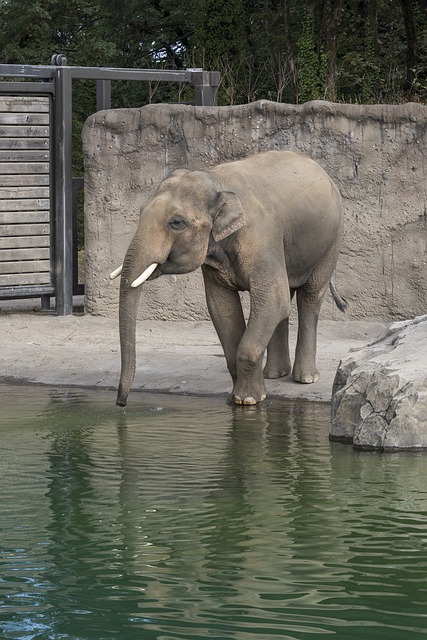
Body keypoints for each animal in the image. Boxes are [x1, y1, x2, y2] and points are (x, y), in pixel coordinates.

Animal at [111, 151, 348, 404]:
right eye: (140, 211)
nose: (121, 403)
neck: (215, 180)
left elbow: (271, 299)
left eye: (176, 222)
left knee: (309, 296)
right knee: (286, 300)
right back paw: (274, 374)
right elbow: (222, 307)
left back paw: (305, 378)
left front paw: (248, 400)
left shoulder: (261, 238)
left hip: (332, 240)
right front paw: (236, 398)